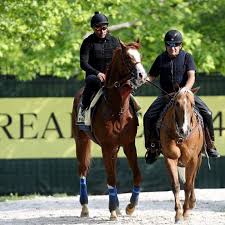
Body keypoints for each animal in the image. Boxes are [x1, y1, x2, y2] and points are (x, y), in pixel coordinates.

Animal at [71, 40, 147, 220]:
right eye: (127, 58)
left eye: (139, 56)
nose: (142, 75)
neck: (116, 107)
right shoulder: (106, 146)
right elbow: (111, 179)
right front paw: (112, 210)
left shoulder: (128, 145)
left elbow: (137, 174)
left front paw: (130, 206)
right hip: (81, 141)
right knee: (82, 170)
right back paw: (85, 207)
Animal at [160, 87, 204, 222]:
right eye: (176, 103)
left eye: (193, 104)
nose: (184, 130)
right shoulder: (170, 158)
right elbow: (176, 185)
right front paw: (178, 213)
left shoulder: (193, 160)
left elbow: (188, 185)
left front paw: (186, 212)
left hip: (198, 160)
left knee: (192, 180)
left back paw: (192, 203)